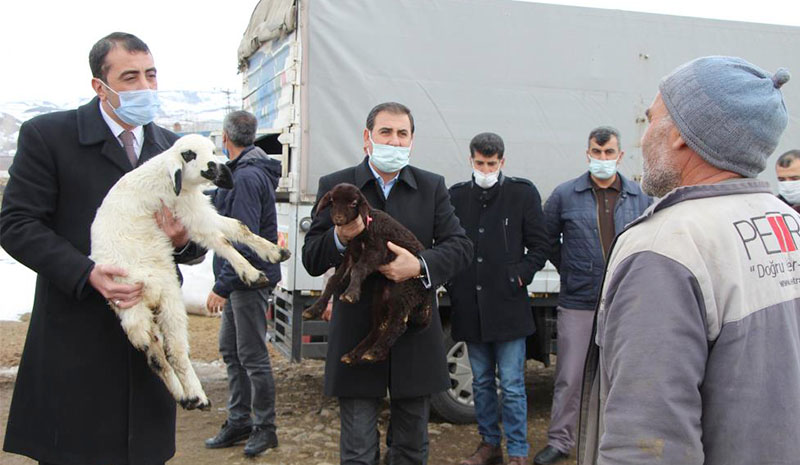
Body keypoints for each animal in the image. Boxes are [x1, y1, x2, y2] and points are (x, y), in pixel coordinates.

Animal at [90, 132, 290, 408]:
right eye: (188, 154)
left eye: (212, 150)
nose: (214, 167)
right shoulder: (188, 212)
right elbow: (221, 240)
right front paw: (251, 272)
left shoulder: (195, 210)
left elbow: (238, 226)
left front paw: (275, 252)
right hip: (167, 293)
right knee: (174, 351)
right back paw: (197, 395)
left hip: (134, 311)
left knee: (154, 355)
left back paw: (186, 396)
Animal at [302, 181, 438, 362]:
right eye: (332, 201)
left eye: (353, 203)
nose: (338, 219)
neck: (364, 230)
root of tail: (427, 294)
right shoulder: (350, 255)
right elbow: (333, 280)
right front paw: (313, 310)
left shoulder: (377, 250)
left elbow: (358, 270)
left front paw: (350, 294)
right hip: (382, 297)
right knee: (380, 326)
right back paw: (355, 354)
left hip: (404, 291)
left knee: (398, 325)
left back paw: (375, 352)